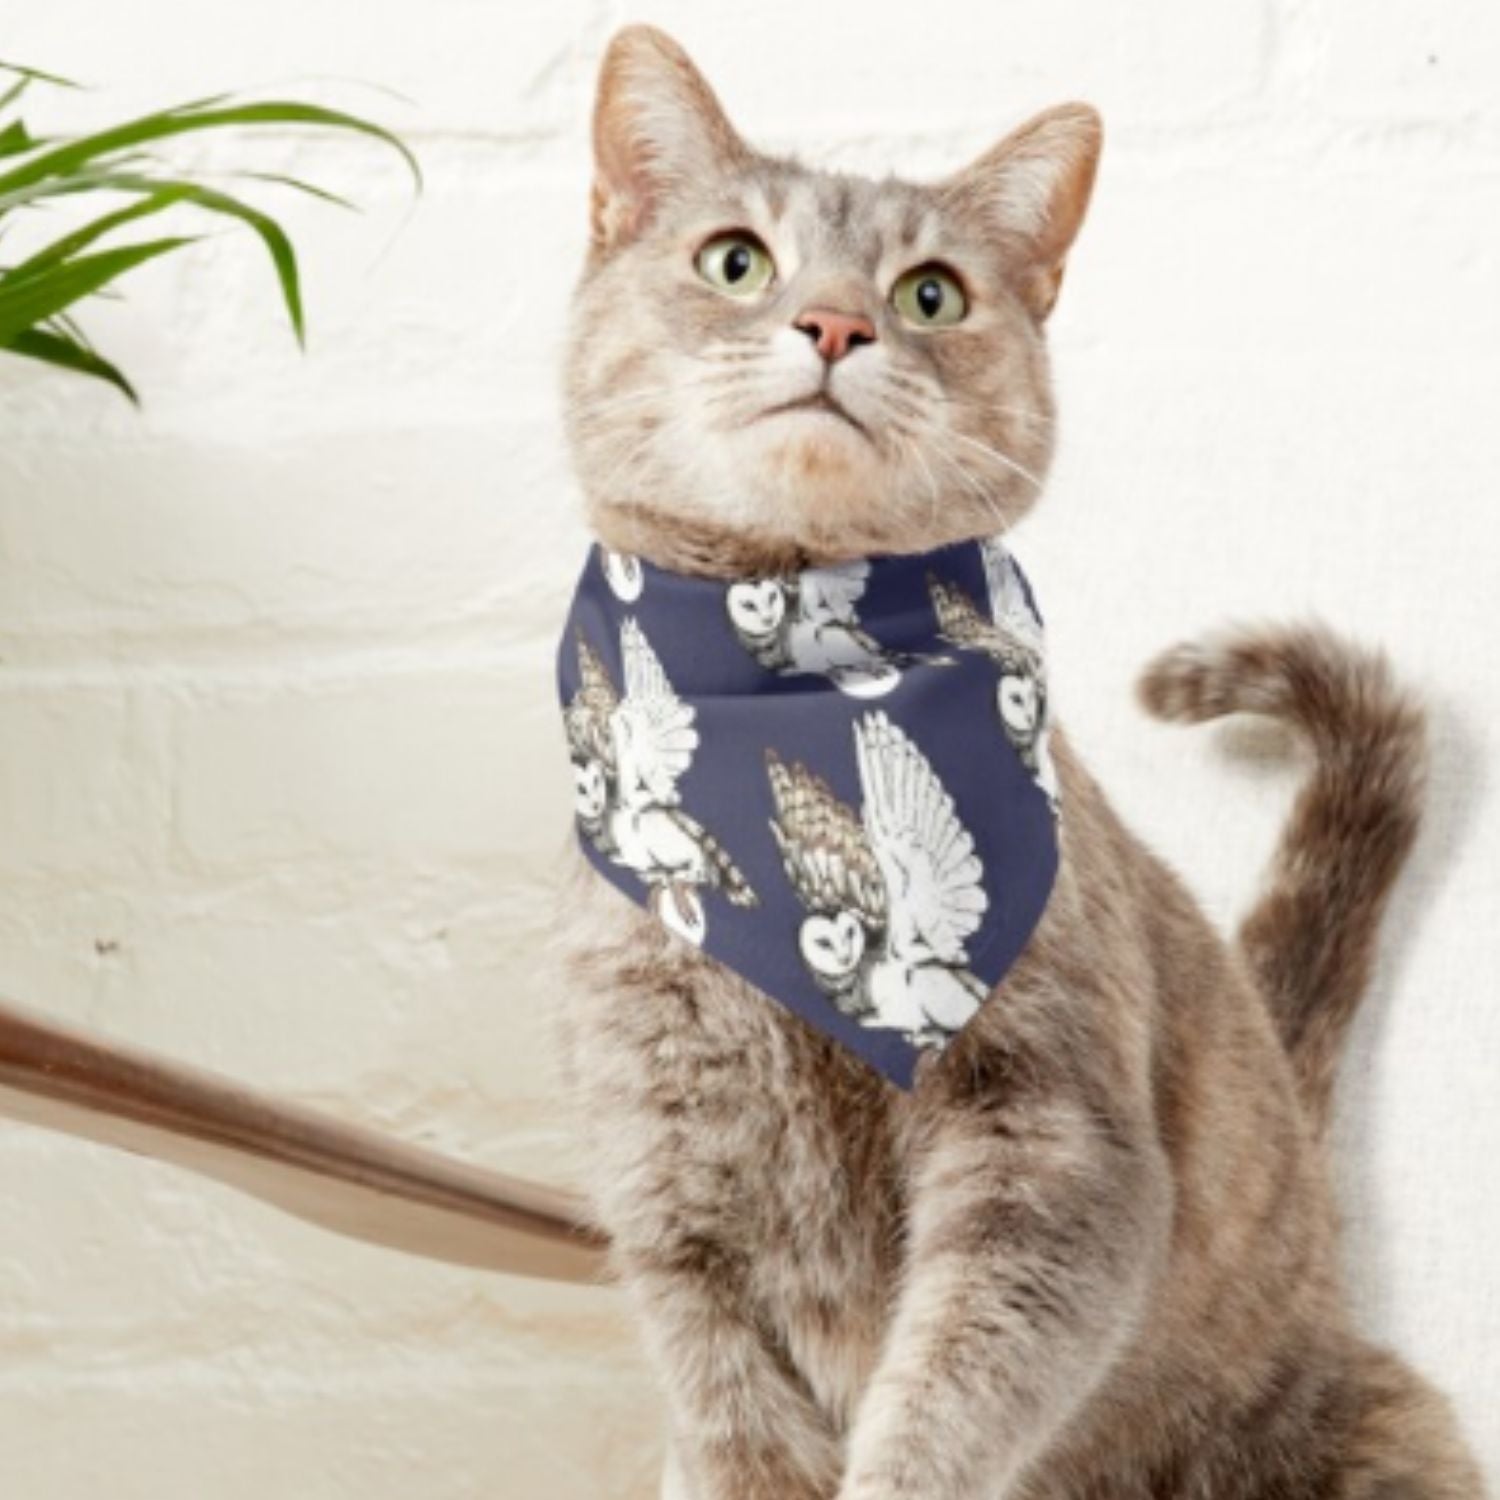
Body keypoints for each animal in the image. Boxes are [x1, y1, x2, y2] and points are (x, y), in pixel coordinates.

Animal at [549, 26, 1476, 1500]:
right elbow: (737, 1427)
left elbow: (946, 1403)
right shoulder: (675, 1204)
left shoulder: (1049, 1150)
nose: (836, 325)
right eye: (735, 260)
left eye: (931, 294)